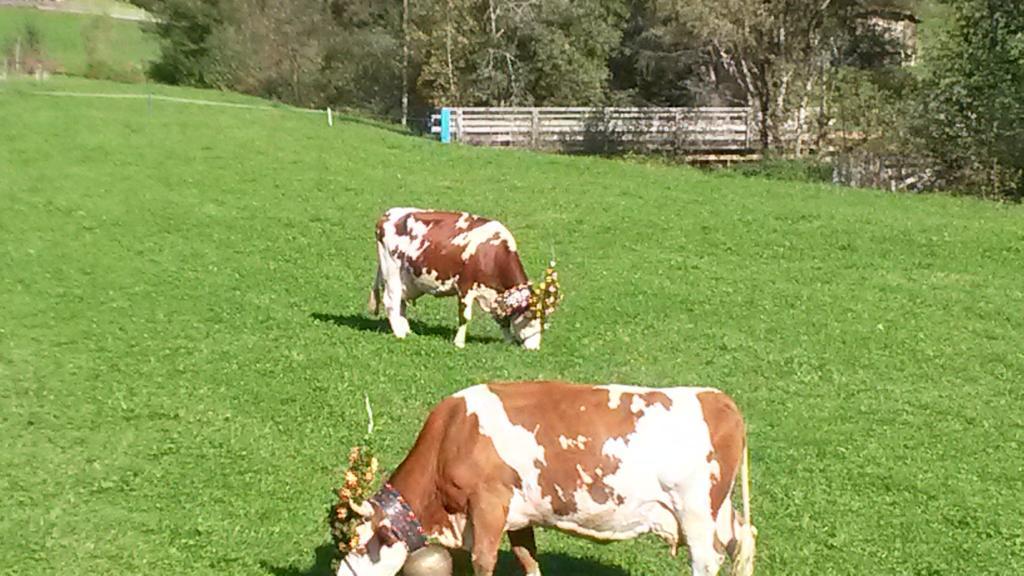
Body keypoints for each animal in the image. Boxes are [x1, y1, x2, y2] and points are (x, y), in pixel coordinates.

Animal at [339, 381, 757, 573]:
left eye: (357, 546)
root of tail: (717, 399)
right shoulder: (518, 515)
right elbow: (528, 558)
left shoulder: (488, 505)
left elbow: (483, 560)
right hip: (719, 511)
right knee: (744, 539)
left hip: (696, 513)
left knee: (707, 561)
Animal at [368, 207, 561, 348]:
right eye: (529, 318)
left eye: (543, 322)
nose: (534, 348)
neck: (491, 253)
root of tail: (387, 215)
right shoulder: (465, 286)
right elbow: (465, 316)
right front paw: (459, 342)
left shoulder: (496, 294)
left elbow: (503, 318)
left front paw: (508, 340)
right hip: (391, 269)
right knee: (391, 301)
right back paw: (399, 334)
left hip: (405, 278)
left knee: (401, 302)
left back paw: (406, 330)